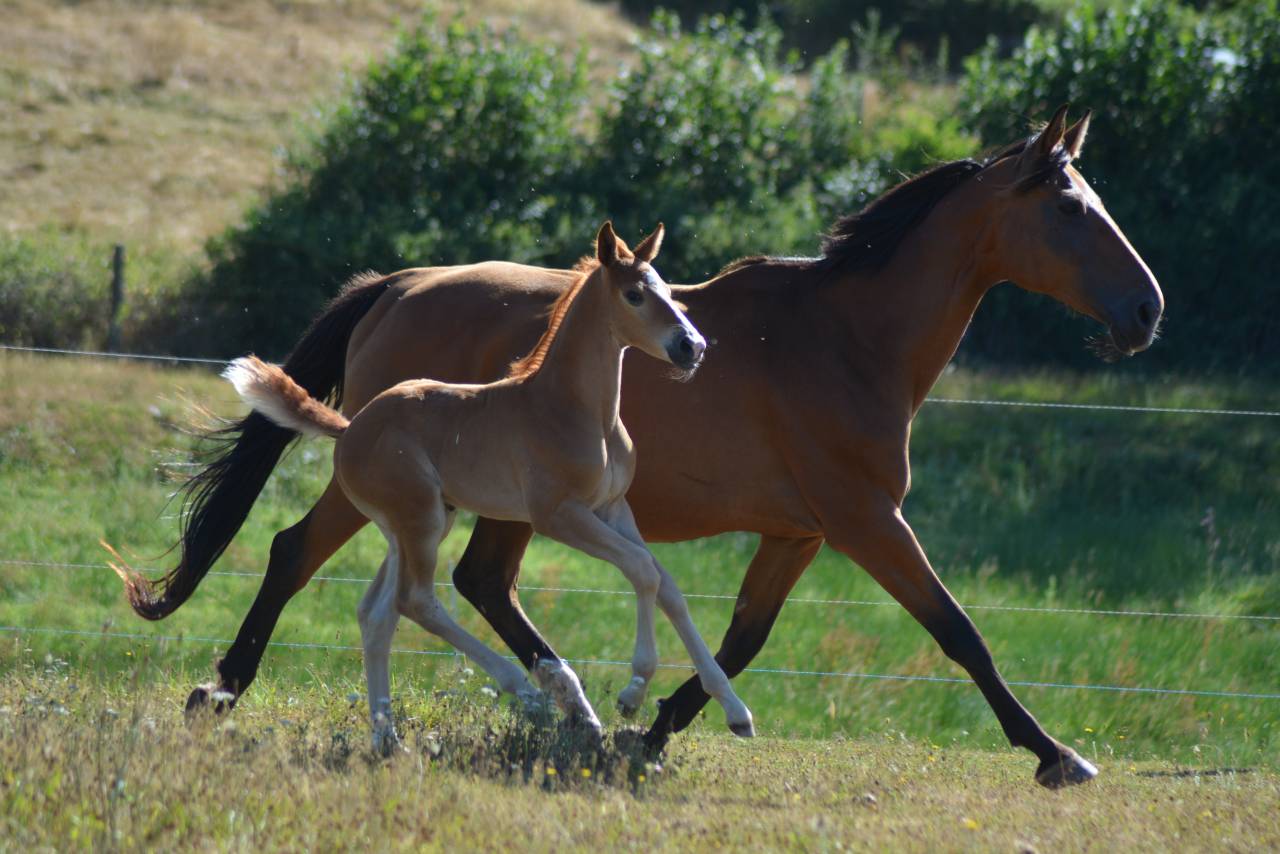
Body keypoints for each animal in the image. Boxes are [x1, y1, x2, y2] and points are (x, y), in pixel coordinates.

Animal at [166, 222, 754, 751]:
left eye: (669, 290)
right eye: (634, 294)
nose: (692, 346)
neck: (571, 407)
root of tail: (351, 426)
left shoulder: (613, 508)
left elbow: (665, 582)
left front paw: (736, 711)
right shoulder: (558, 515)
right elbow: (641, 571)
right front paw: (634, 690)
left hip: (416, 523)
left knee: (378, 612)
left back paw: (387, 737)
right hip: (422, 519)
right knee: (417, 600)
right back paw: (527, 695)